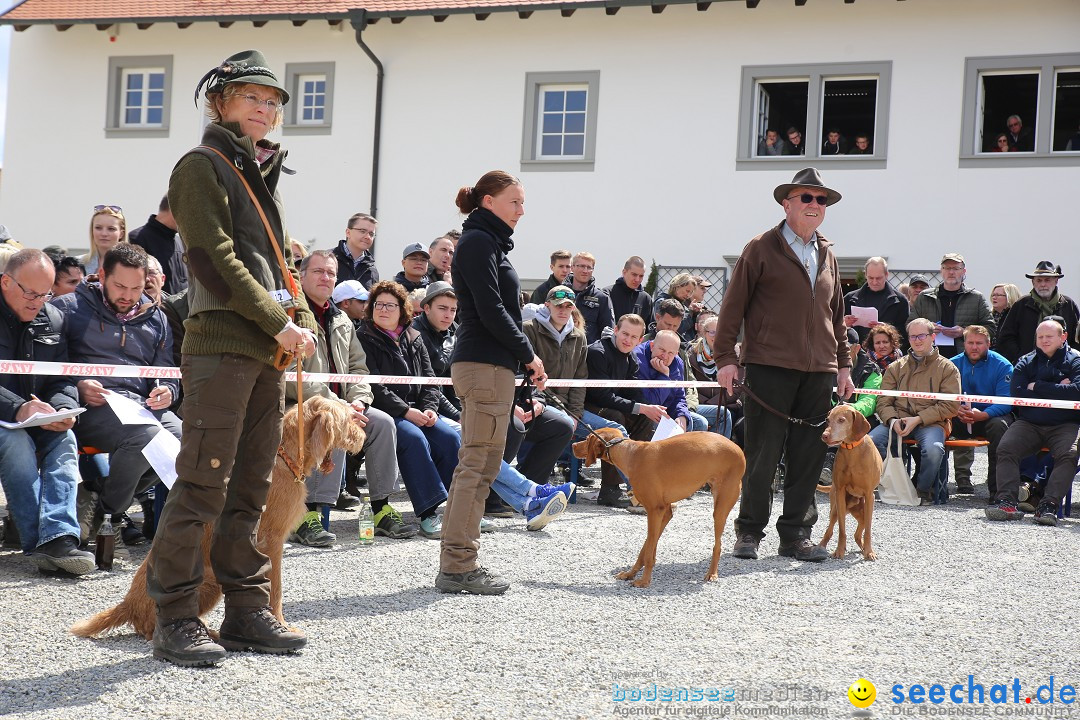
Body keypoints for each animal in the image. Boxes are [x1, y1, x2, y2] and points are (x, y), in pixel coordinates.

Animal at [72, 395, 367, 643]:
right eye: (347, 418)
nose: (364, 435)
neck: (285, 457)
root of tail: (127, 604)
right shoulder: (271, 542)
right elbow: (275, 589)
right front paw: (281, 624)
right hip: (209, 581)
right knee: (150, 627)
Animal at [574, 427, 743, 587]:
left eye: (587, 438)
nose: (573, 445)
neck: (631, 454)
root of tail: (739, 449)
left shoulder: (655, 510)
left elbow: (649, 550)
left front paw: (644, 581)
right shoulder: (665, 511)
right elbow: (647, 546)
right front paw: (630, 573)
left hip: (720, 508)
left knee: (718, 545)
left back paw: (712, 573)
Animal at [820, 403, 881, 561]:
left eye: (841, 420)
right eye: (827, 420)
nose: (824, 435)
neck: (852, 449)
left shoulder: (870, 495)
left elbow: (868, 531)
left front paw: (869, 552)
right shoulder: (840, 493)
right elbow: (841, 530)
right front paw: (839, 551)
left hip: (863, 510)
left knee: (859, 533)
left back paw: (864, 549)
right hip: (835, 508)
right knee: (830, 530)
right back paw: (820, 547)